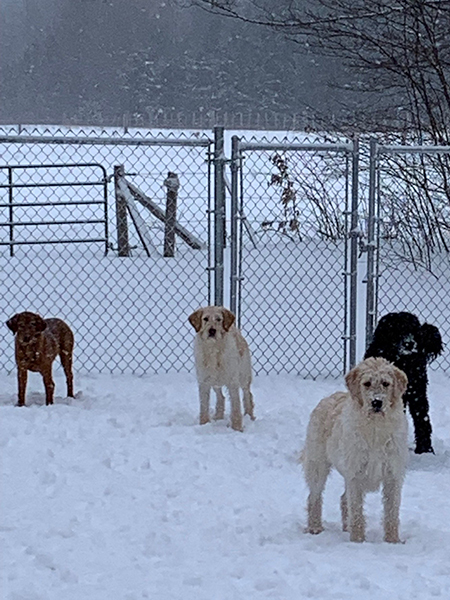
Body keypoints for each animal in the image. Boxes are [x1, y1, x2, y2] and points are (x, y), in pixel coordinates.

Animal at [300, 356, 410, 544]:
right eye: (367, 383)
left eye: (386, 383)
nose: (376, 402)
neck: (375, 428)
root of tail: (327, 398)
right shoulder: (356, 474)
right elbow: (357, 510)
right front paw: (358, 541)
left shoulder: (392, 475)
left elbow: (391, 512)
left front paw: (392, 541)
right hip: (318, 466)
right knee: (314, 496)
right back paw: (315, 527)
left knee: (343, 499)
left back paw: (346, 528)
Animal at [366, 312, 442, 452]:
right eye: (398, 331)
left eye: (413, 330)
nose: (409, 343)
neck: (401, 361)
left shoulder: (416, 392)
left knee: (422, 417)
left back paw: (424, 449)